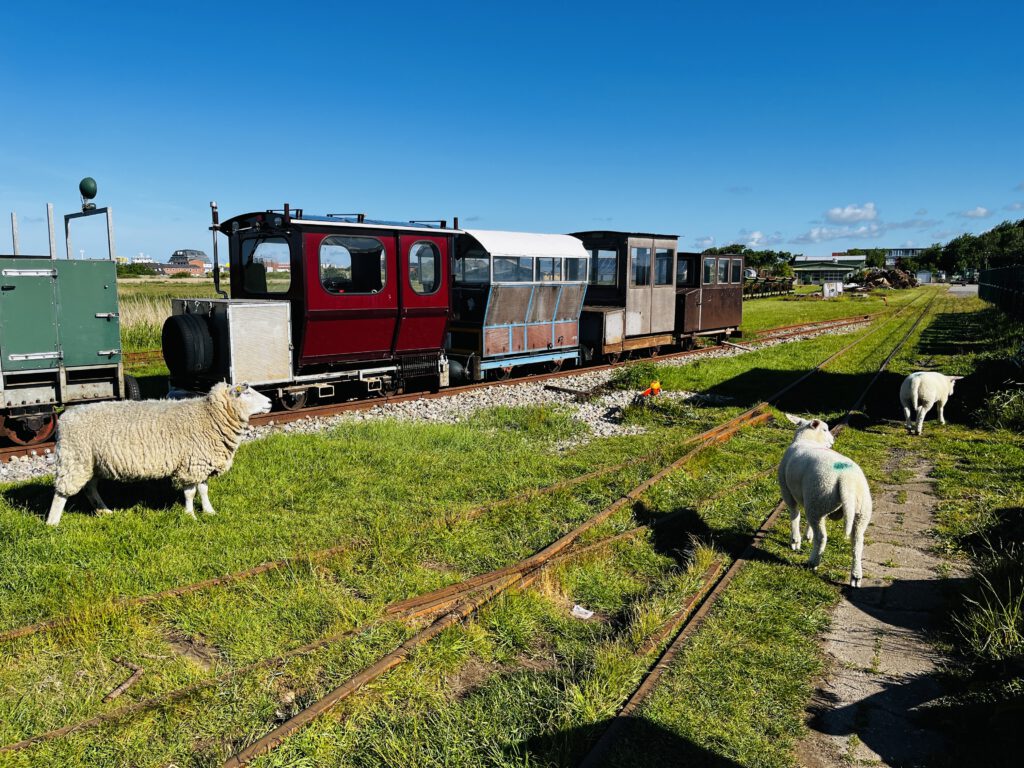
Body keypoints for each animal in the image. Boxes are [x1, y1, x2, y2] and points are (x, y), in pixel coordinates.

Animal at [46, 383, 272, 526]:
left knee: (90, 488)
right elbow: (190, 493)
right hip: (74, 457)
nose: (270, 402)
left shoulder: (201, 462)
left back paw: (104, 511)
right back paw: (52, 523)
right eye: (246, 393)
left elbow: (203, 490)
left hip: (92, 463)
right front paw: (190, 516)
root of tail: (65, 417)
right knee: (61, 493)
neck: (208, 415)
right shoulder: (190, 464)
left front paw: (209, 511)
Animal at [777, 414, 873, 587]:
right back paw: (856, 576)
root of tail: (846, 480)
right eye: (825, 429)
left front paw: (796, 540)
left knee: (822, 537)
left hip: (819, 498)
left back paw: (812, 562)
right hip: (860, 510)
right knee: (857, 542)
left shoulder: (787, 491)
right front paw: (807, 536)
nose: (832, 441)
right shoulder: (808, 496)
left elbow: (795, 515)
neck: (806, 439)